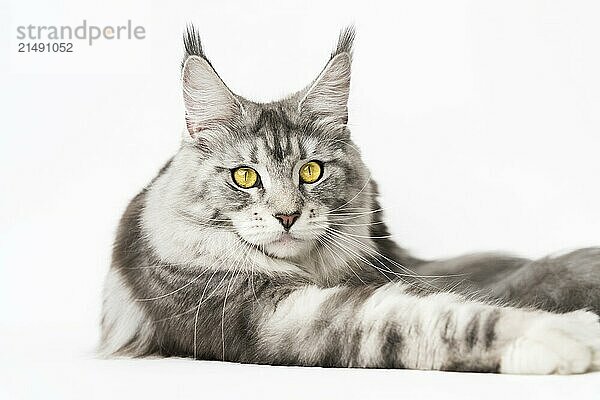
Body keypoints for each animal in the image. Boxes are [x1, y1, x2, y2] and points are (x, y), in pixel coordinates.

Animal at [99, 26, 600, 374]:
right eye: (245, 176)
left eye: (311, 171)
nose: (287, 216)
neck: (308, 271)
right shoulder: (265, 317)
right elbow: (437, 319)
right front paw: (564, 332)